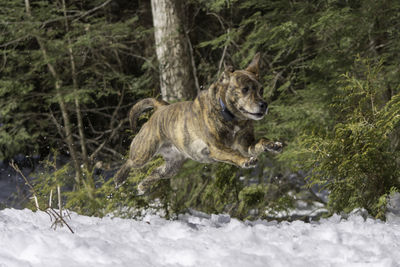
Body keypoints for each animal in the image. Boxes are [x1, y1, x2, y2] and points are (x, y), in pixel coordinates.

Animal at [112, 52, 282, 195]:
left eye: (261, 90)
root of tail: (161, 108)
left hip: (172, 166)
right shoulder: (217, 148)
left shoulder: (246, 145)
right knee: (130, 162)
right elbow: (233, 154)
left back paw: (143, 185)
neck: (231, 117)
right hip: (144, 151)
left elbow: (260, 141)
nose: (264, 104)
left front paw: (272, 144)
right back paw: (119, 178)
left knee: (156, 172)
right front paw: (246, 161)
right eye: (245, 89)